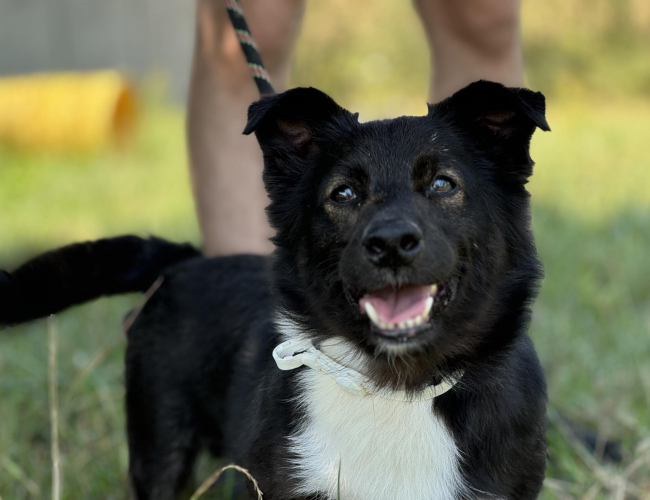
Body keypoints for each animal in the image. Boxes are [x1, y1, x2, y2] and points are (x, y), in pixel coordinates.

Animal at [0, 80, 548, 498]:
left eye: (442, 184)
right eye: (343, 193)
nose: (391, 244)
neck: (393, 389)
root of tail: (186, 261)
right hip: (159, 442)